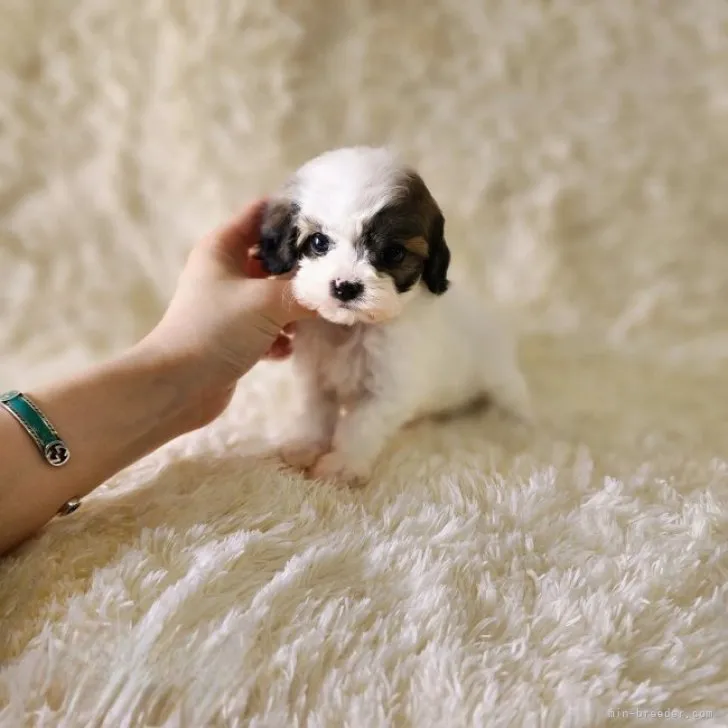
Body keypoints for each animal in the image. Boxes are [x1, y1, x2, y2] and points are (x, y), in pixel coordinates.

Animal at [258, 146, 532, 486]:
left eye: (393, 254)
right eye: (318, 242)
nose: (346, 287)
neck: (353, 328)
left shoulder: (388, 390)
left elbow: (361, 426)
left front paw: (343, 464)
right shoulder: (315, 376)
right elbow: (314, 411)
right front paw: (305, 446)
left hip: (499, 372)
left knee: (513, 395)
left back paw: (523, 424)